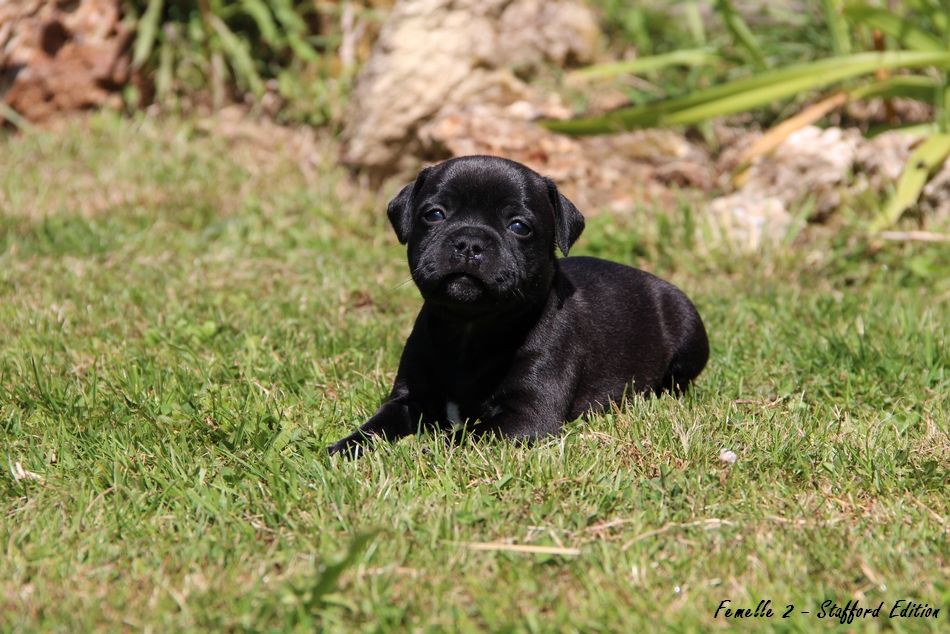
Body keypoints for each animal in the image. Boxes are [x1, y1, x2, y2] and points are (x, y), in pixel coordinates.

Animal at [327, 156, 708, 457]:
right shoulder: (410, 398)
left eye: (519, 226)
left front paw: (420, 452)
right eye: (434, 215)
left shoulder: (526, 416)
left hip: (687, 330)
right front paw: (346, 447)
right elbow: (378, 425)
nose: (469, 242)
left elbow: (466, 435)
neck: (470, 329)